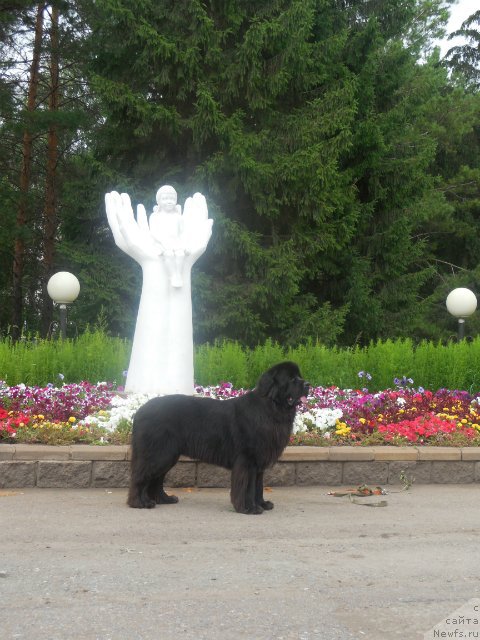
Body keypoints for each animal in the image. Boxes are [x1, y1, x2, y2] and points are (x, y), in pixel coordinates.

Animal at [126, 360, 308, 516]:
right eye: (291, 379)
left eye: (300, 376)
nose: (307, 384)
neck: (271, 408)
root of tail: (139, 411)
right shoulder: (247, 460)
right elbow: (248, 486)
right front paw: (249, 508)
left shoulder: (259, 462)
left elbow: (258, 486)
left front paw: (262, 504)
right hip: (158, 454)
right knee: (140, 476)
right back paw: (139, 503)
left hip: (168, 455)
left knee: (156, 479)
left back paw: (164, 499)